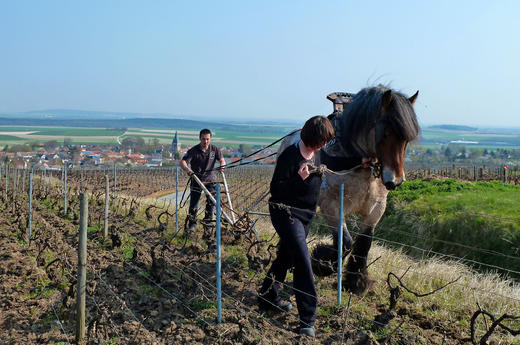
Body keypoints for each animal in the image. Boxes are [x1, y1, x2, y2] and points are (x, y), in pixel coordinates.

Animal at [280, 85, 418, 292]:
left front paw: (356, 282)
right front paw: (322, 264)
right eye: (385, 132)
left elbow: (363, 245)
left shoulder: (375, 210)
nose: (395, 181)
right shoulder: (332, 207)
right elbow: (345, 243)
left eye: (406, 138)